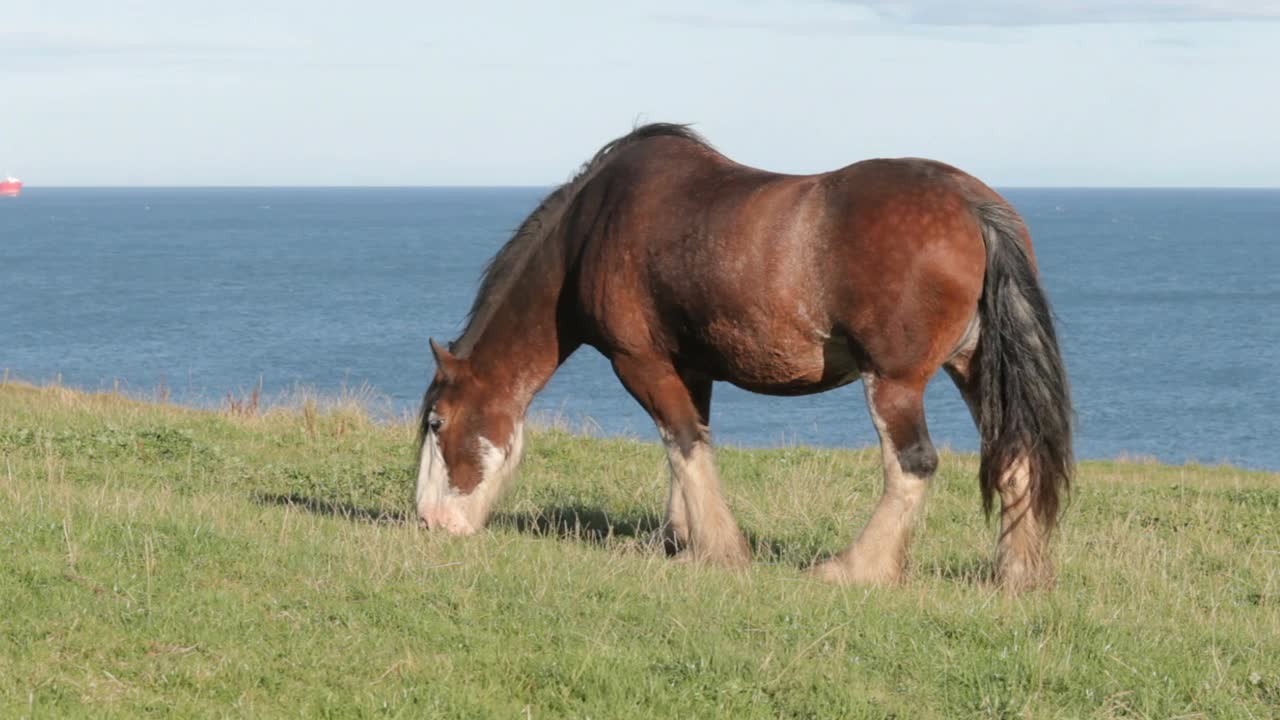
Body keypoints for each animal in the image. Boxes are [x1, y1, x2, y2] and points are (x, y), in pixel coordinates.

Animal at [417, 121, 1070, 589]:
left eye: (437, 423)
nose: (426, 522)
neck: (593, 226)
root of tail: (971, 204)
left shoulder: (640, 362)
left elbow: (682, 442)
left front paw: (720, 551)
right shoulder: (690, 368)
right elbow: (687, 449)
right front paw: (678, 541)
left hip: (894, 381)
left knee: (912, 464)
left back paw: (854, 569)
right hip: (976, 366)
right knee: (1016, 456)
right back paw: (1016, 575)